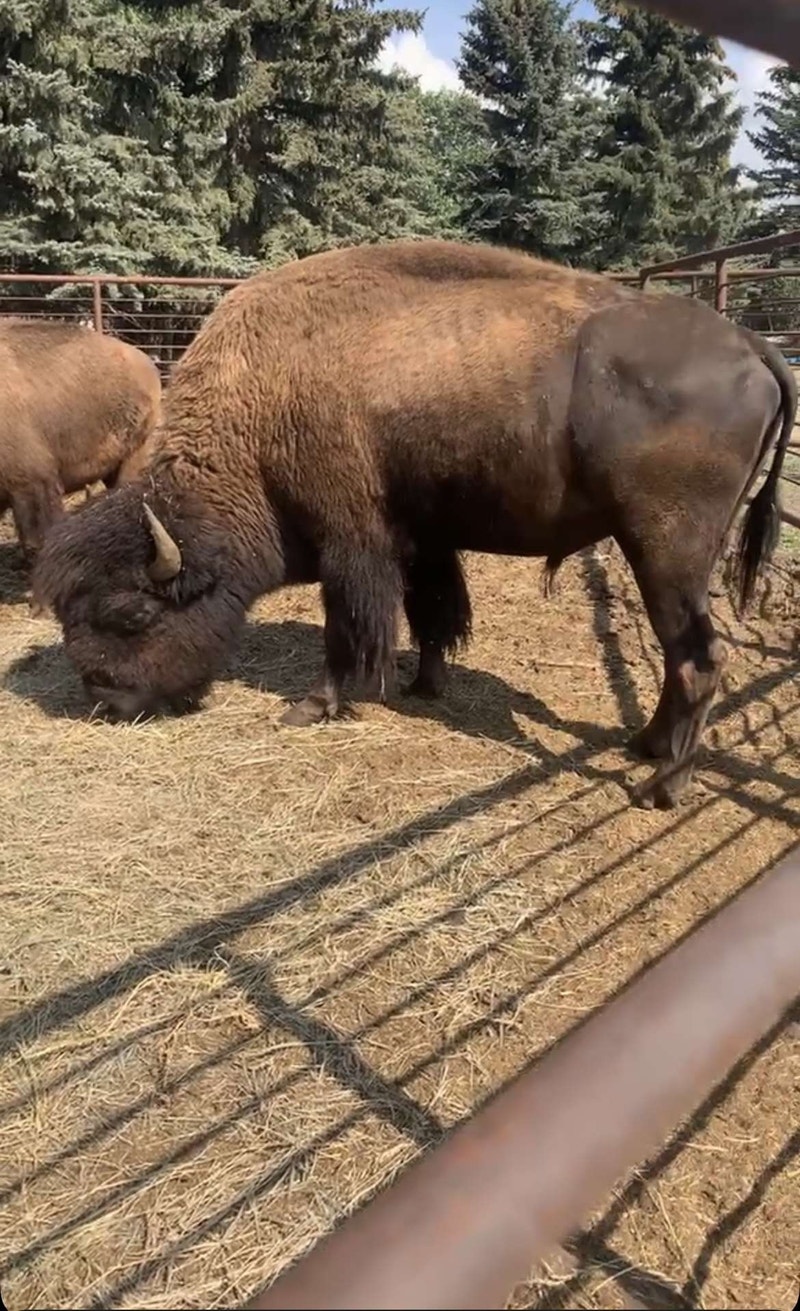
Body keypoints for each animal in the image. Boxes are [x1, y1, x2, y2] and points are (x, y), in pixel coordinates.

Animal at [31, 239, 796, 809]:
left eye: (132, 615)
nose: (104, 699)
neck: (261, 407)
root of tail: (752, 344)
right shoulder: (424, 540)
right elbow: (433, 612)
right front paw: (426, 685)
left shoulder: (352, 545)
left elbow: (350, 629)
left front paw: (314, 705)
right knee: (681, 657)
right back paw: (647, 746)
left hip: (666, 550)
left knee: (699, 659)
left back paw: (663, 786)